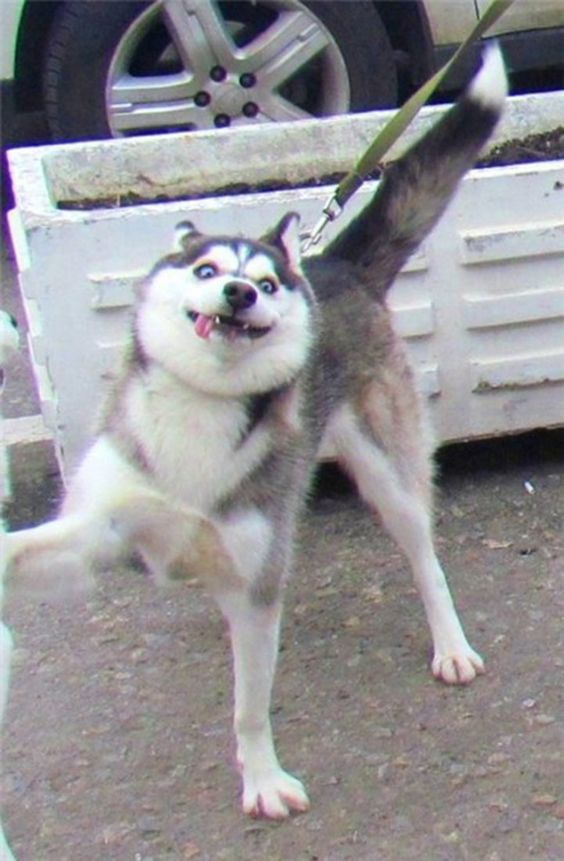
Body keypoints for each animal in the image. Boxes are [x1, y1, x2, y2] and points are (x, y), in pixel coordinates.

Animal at [3, 45, 506, 820]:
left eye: (266, 285)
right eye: (207, 269)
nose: (239, 292)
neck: (203, 412)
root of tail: (333, 263)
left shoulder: (259, 582)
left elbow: (249, 707)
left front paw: (263, 779)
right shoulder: (97, 531)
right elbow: (38, 549)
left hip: (389, 474)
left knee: (425, 559)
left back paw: (449, 642)